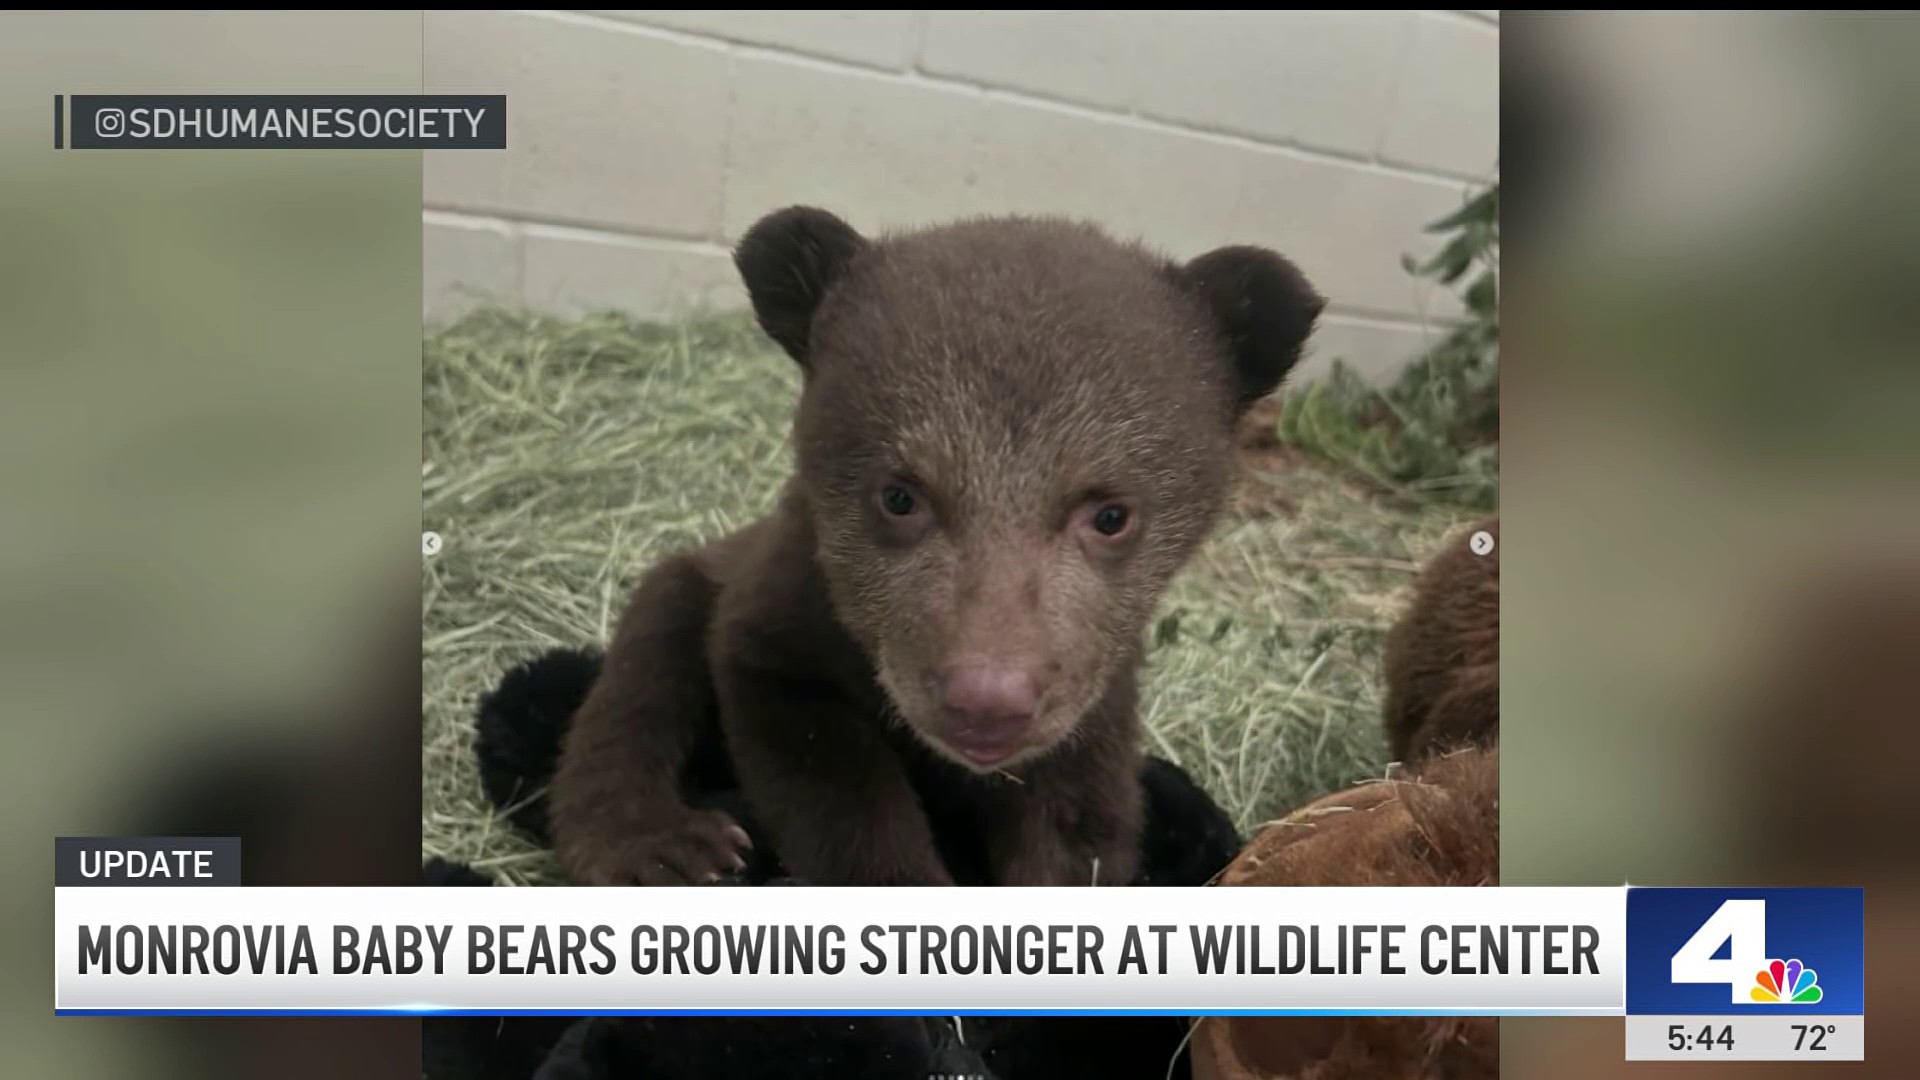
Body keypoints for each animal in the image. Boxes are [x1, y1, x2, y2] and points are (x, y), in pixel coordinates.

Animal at [548, 206, 1324, 889]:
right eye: (900, 495)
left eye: (1110, 514)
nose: (986, 701)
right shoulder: (789, 614)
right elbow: (829, 776)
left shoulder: (1096, 678)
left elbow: (1079, 817)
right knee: (640, 675)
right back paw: (659, 845)